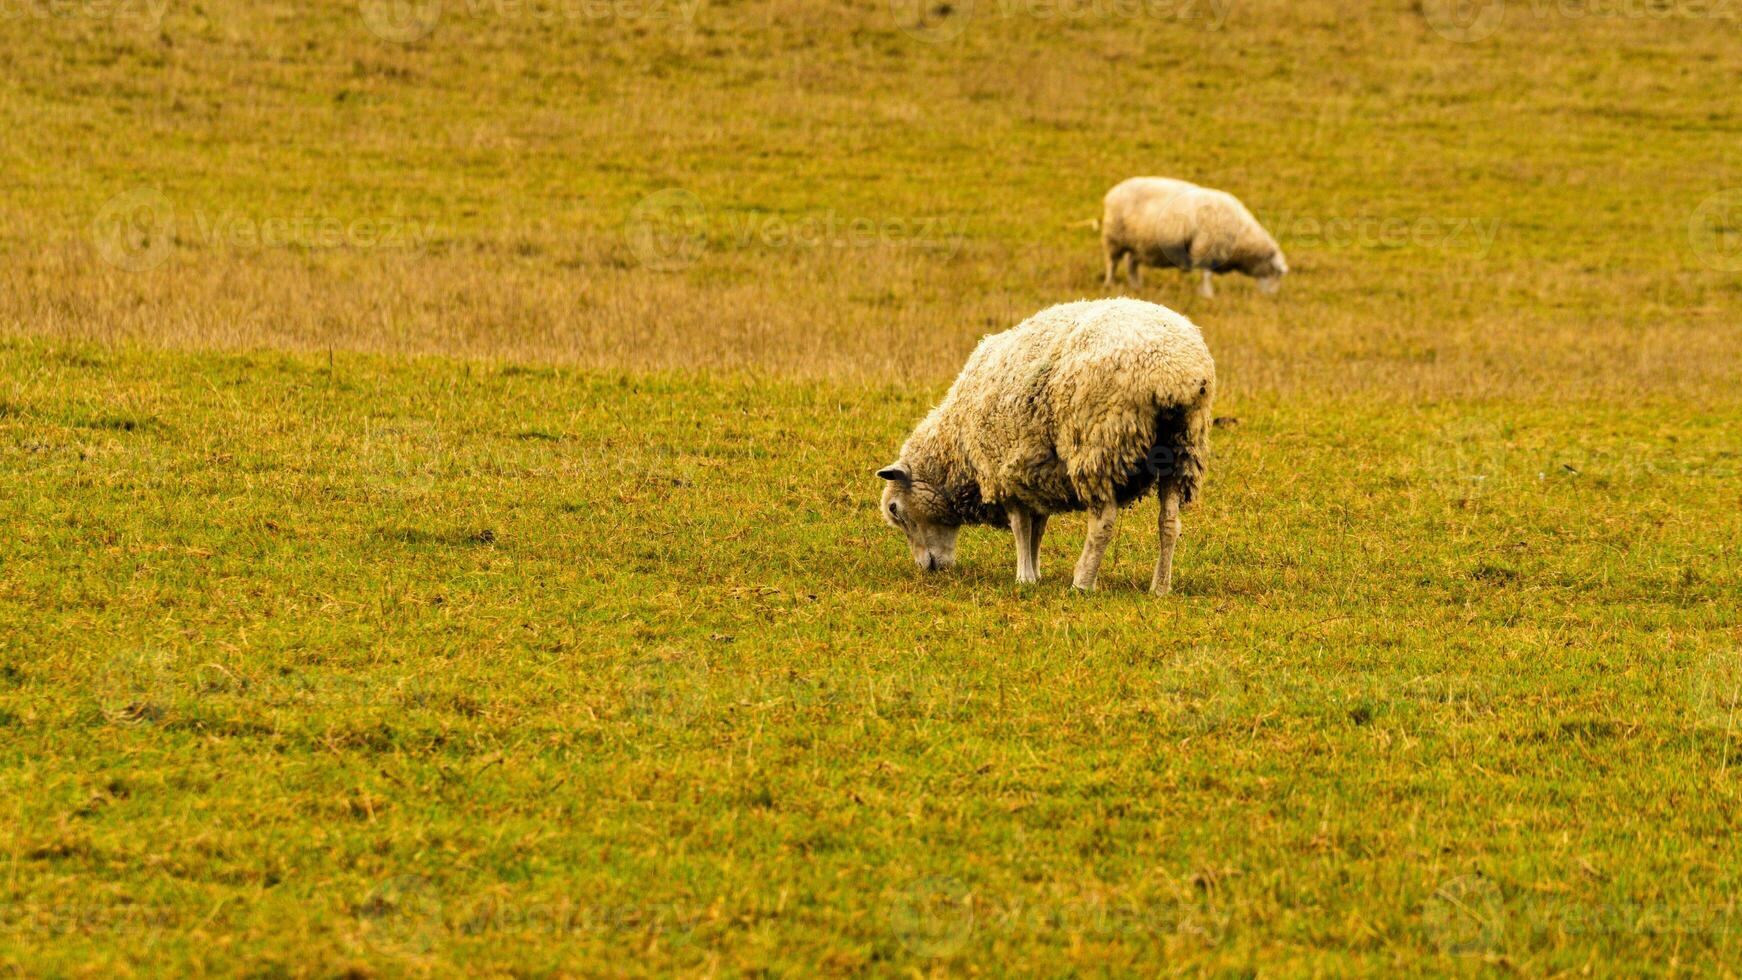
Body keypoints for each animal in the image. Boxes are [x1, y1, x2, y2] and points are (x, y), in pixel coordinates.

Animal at [877, 295, 1219, 595]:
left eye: (896, 510)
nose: (927, 567)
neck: (956, 447)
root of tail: (1175, 373)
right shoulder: (1035, 476)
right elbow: (1037, 528)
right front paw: (1036, 571)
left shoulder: (1003, 471)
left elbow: (1020, 527)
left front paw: (1024, 577)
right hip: (1182, 447)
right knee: (1169, 522)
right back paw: (1160, 587)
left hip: (1098, 444)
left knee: (1103, 523)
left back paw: (1082, 582)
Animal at [1093, 176, 1289, 299]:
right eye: (1277, 273)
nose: (1271, 297)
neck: (1241, 235)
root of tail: (1112, 192)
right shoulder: (1206, 248)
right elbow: (1206, 274)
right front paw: (1208, 294)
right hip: (1114, 236)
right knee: (1112, 263)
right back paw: (1110, 284)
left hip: (1138, 242)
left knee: (1131, 265)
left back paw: (1136, 286)